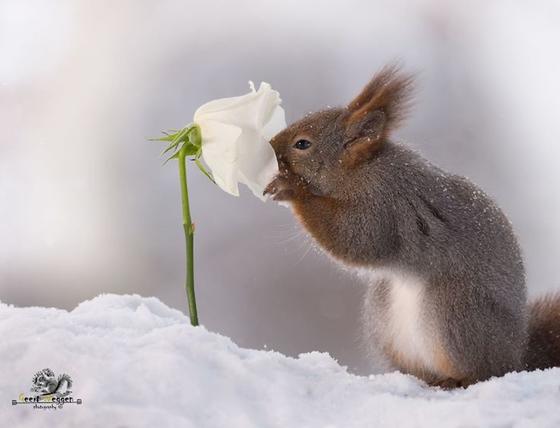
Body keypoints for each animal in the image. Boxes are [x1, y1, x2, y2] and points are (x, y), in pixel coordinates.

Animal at [264, 66, 560, 388]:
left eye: (302, 144)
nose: (270, 147)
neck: (360, 170)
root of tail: (517, 357)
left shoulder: (385, 203)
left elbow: (356, 239)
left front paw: (291, 188)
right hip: (383, 318)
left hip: (455, 310)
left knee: (482, 371)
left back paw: (455, 380)